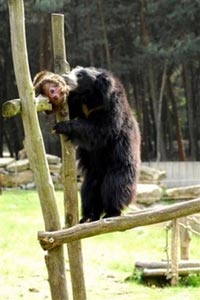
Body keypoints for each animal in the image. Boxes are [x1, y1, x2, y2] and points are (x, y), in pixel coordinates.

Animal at [53, 67, 141, 221]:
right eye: (72, 70)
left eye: (80, 75)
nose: (64, 76)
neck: (90, 99)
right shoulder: (78, 105)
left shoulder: (111, 111)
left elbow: (99, 130)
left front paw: (61, 126)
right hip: (93, 174)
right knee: (89, 191)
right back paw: (89, 216)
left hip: (120, 165)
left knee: (115, 186)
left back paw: (111, 212)